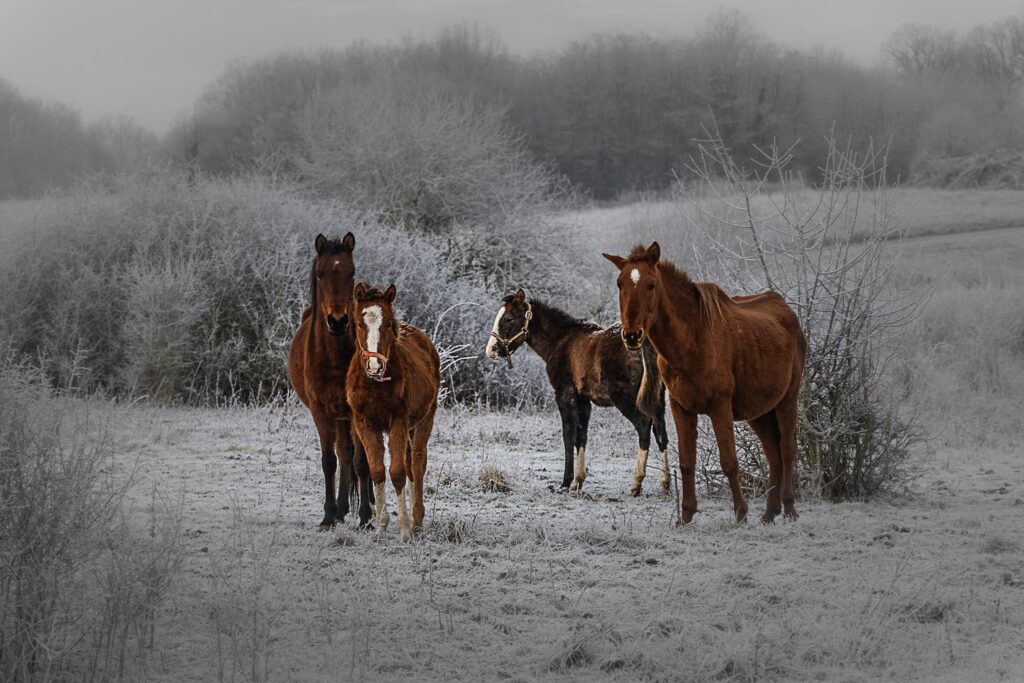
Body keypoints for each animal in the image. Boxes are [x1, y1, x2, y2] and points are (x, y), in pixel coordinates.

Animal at [287, 233, 373, 529]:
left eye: (351, 272)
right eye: (321, 273)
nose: (338, 322)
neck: (334, 357)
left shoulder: (357, 411)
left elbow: (361, 462)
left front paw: (366, 518)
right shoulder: (321, 411)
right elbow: (329, 461)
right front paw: (328, 515)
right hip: (338, 417)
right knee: (343, 454)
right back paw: (341, 509)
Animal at [347, 283, 441, 542]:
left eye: (388, 323)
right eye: (359, 323)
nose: (375, 366)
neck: (376, 384)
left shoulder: (398, 421)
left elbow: (397, 472)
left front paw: (405, 529)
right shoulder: (364, 423)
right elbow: (377, 471)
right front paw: (380, 525)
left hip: (424, 420)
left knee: (416, 463)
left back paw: (417, 519)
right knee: (409, 463)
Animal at [485, 289, 671, 495]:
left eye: (508, 318)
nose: (491, 350)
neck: (560, 341)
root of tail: (645, 343)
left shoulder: (565, 394)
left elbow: (568, 435)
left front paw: (566, 481)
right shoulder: (583, 399)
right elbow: (582, 435)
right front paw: (578, 481)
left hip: (626, 398)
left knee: (644, 426)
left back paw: (637, 482)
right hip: (657, 398)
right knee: (660, 430)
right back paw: (666, 482)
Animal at [602, 242, 807, 524]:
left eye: (651, 285)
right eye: (620, 284)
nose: (632, 335)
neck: (692, 341)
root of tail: (787, 312)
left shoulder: (720, 406)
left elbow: (729, 461)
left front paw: (741, 514)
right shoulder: (681, 408)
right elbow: (687, 462)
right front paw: (686, 516)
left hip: (788, 398)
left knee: (786, 449)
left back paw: (789, 509)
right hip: (760, 411)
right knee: (773, 454)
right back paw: (769, 513)